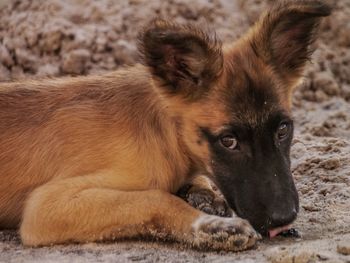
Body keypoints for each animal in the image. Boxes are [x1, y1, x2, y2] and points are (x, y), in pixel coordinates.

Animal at [0, 0, 330, 252]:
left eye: (283, 130)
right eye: (228, 141)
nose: (283, 219)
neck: (164, 137)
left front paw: (205, 198)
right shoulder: (45, 206)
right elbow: (155, 197)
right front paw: (210, 225)